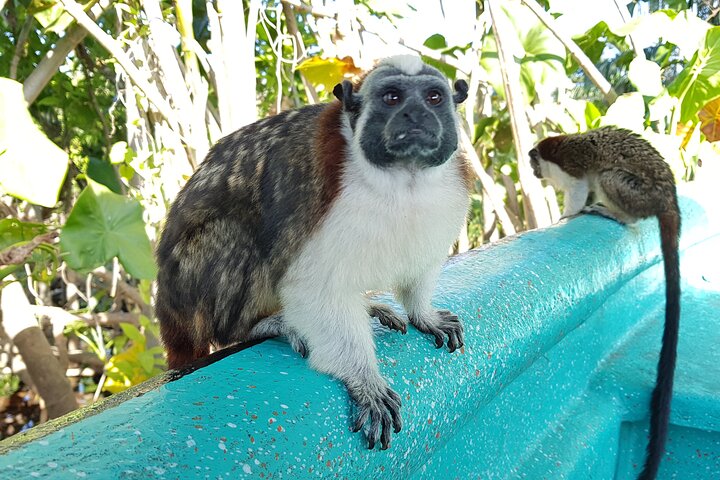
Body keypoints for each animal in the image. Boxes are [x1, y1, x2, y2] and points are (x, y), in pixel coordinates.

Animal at [155, 55, 472, 450]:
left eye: (433, 98)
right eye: (393, 98)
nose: (414, 115)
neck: (403, 181)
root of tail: (167, 309)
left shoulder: (449, 195)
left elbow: (421, 265)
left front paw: (423, 314)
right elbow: (316, 290)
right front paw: (364, 381)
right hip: (190, 287)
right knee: (232, 233)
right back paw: (259, 324)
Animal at [528, 126, 680, 480]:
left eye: (534, 165)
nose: (533, 173)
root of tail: (668, 198)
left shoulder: (569, 164)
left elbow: (581, 186)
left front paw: (565, 216)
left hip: (642, 194)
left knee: (608, 176)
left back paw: (618, 214)